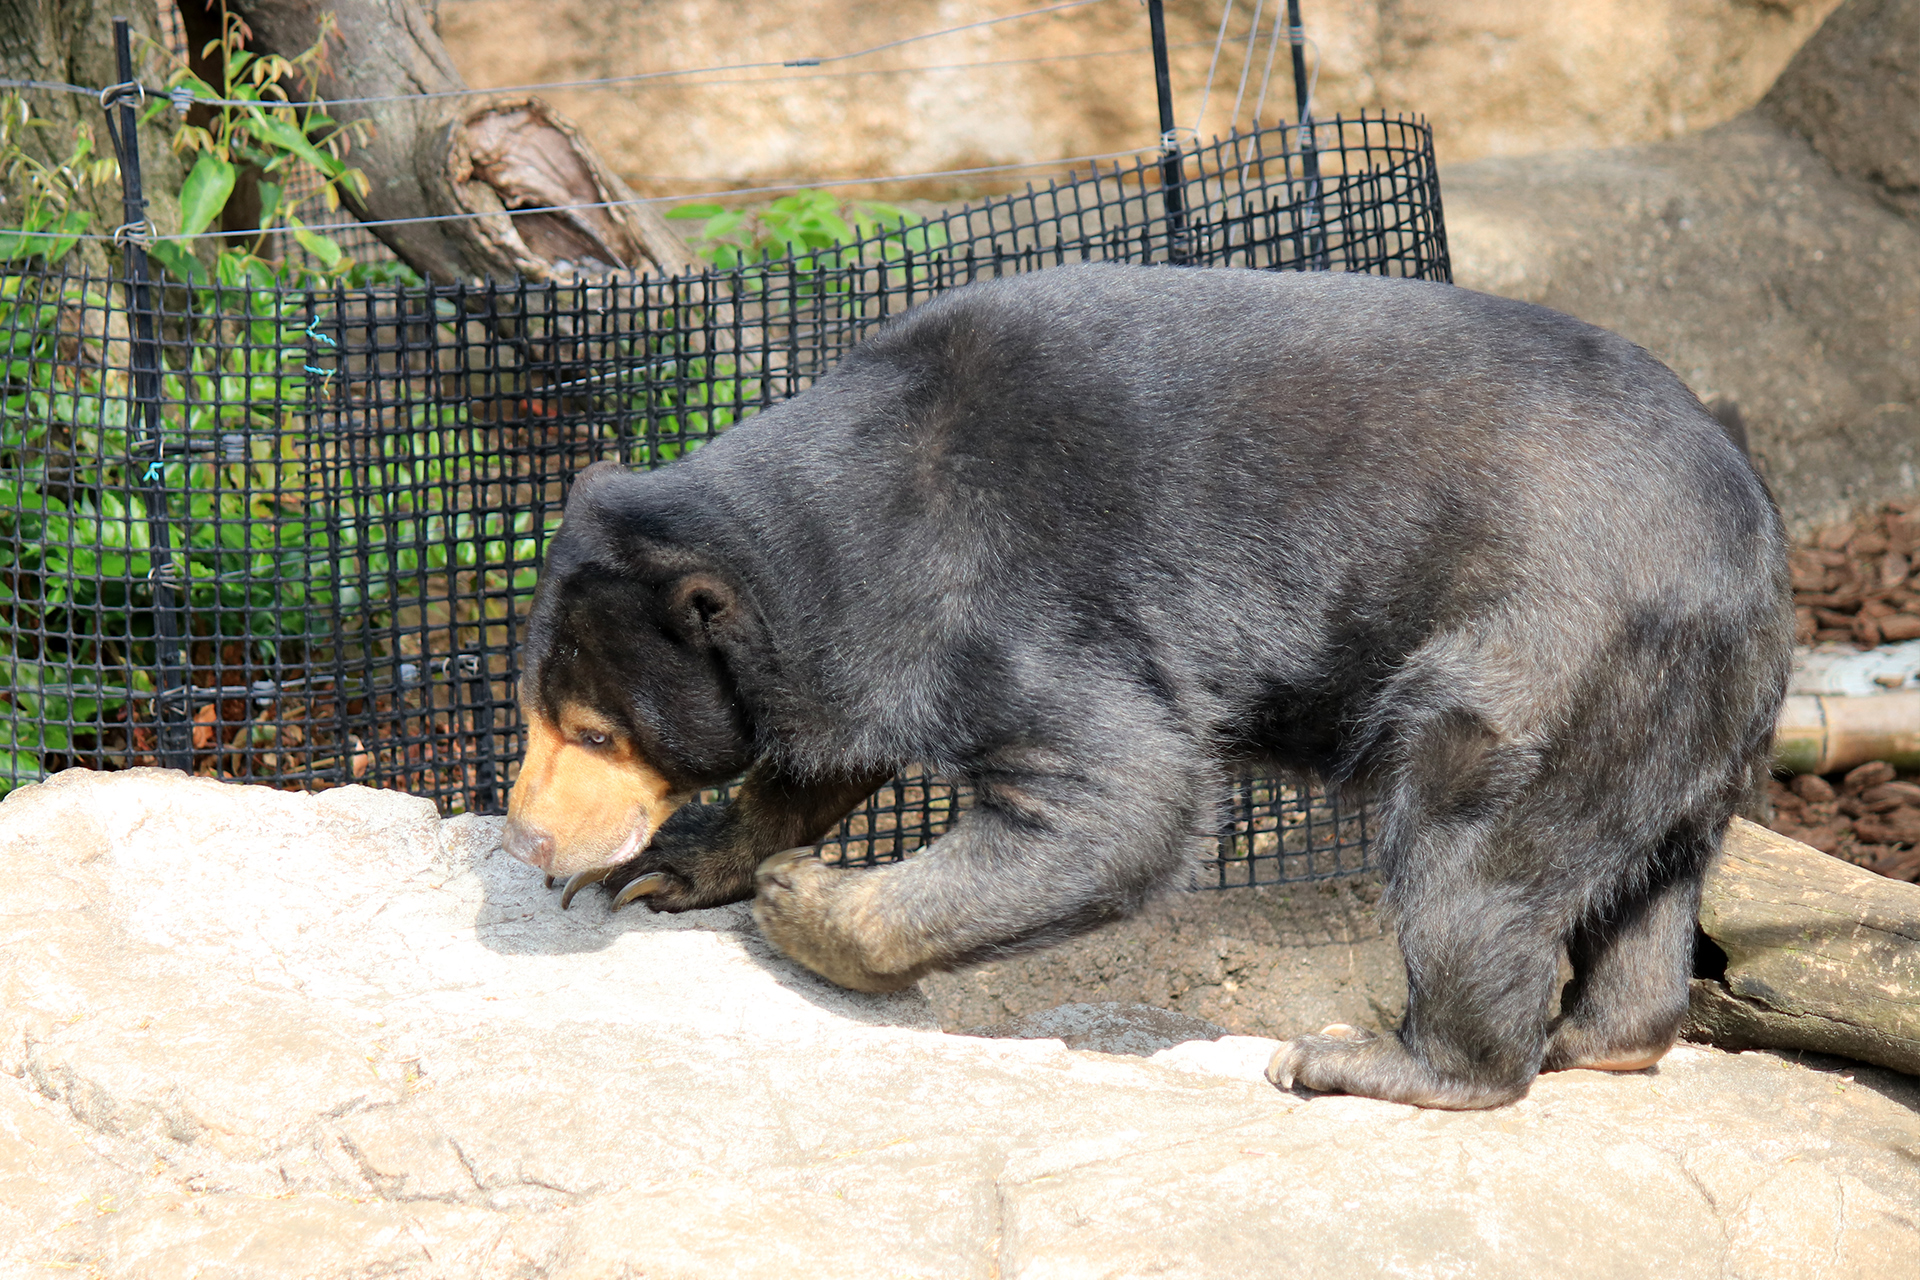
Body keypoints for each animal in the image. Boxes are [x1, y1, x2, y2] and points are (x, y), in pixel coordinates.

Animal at [503, 262, 1789, 1113]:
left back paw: (1366, 1058)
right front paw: (681, 866)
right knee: (1643, 877)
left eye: (599, 734)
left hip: (1553, 655)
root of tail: (1761, 550)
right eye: (535, 720)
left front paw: (805, 899)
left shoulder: (1005, 590)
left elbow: (1125, 795)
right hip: (1664, 714)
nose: (527, 839)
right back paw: (1602, 1041)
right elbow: (827, 754)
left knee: (1474, 847)